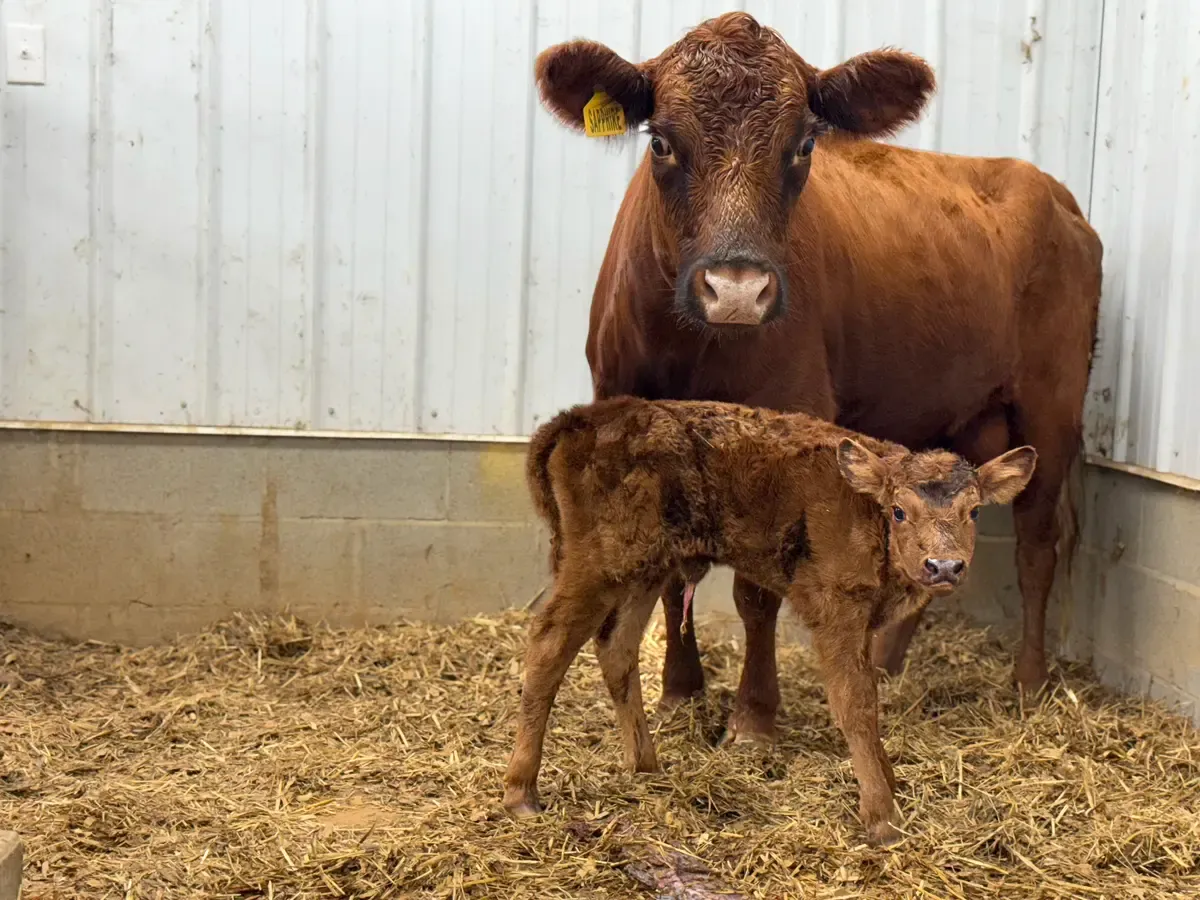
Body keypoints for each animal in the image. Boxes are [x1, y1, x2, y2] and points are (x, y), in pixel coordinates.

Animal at [503, 396, 1037, 844]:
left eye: (973, 511)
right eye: (900, 510)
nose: (943, 566)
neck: (866, 510)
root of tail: (575, 419)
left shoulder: (864, 623)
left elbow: (870, 698)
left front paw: (888, 784)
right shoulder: (837, 612)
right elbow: (855, 703)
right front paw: (882, 818)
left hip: (644, 571)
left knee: (617, 646)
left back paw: (645, 766)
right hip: (596, 566)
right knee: (549, 643)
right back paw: (522, 794)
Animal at [532, 12, 1102, 744]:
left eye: (803, 144)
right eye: (660, 141)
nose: (737, 290)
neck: (694, 347)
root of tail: (1053, 191)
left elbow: (755, 590)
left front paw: (754, 716)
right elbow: (670, 569)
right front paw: (681, 692)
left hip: (1051, 406)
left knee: (1037, 544)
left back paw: (1029, 683)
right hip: (957, 414)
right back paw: (886, 664)